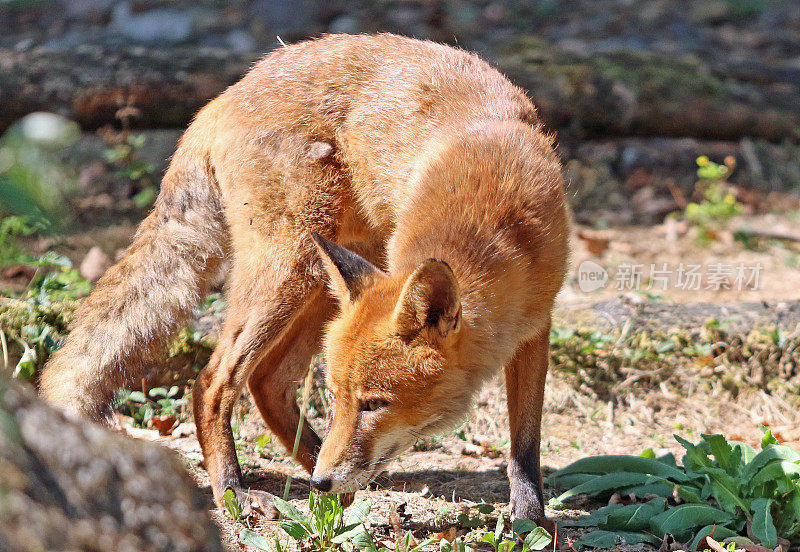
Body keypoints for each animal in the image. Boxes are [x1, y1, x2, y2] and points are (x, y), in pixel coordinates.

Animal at [40, 32, 568, 524]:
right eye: (336, 398)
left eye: (374, 404)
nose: (322, 482)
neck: (496, 214)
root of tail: (224, 96)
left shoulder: (536, 324)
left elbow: (525, 443)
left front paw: (530, 518)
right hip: (288, 267)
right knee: (213, 381)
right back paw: (236, 490)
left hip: (325, 276)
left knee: (267, 381)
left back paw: (322, 478)